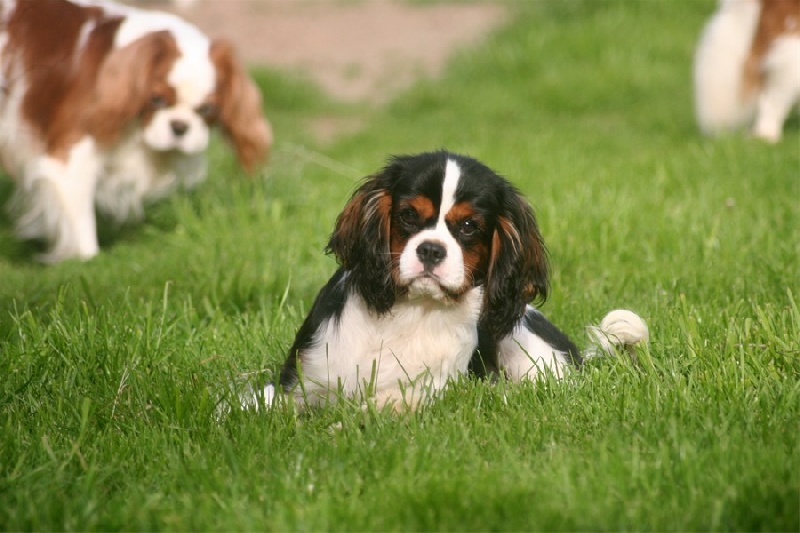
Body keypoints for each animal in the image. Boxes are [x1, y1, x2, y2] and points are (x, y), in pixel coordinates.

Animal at [0, 0, 272, 262]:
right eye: (157, 100)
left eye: (206, 109)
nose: (179, 126)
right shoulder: (71, 157)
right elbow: (81, 223)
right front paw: (88, 260)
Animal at [245, 152, 648, 410]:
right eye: (408, 216)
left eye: (468, 226)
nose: (431, 250)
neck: (413, 312)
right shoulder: (296, 385)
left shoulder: (427, 390)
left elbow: (385, 406)